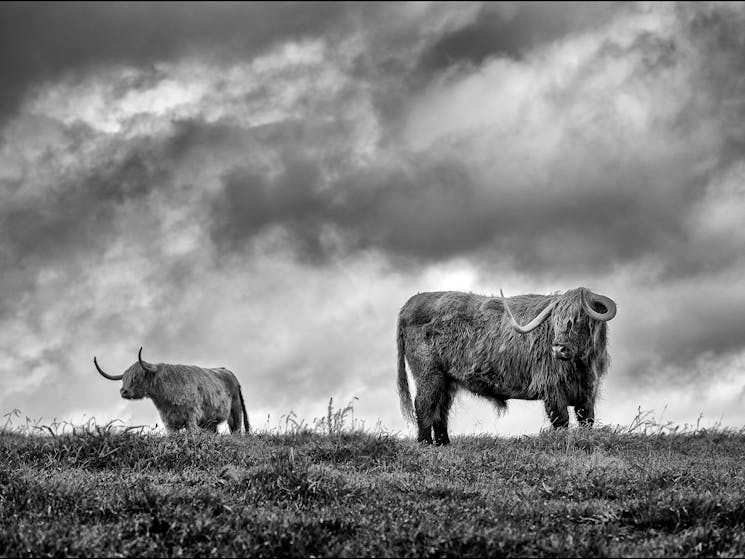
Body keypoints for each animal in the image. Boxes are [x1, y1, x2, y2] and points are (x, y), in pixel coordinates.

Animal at [93, 348, 248, 436]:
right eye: (123, 378)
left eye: (136, 376)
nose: (123, 391)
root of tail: (227, 372)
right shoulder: (169, 423)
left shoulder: (191, 418)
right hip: (210, 421)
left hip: (235, 411)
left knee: (236, 430)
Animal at [396, 288, 616, 446]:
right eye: (556, 320)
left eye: (581, 319)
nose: (558, 348)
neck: (581, 366)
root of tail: (410, 303)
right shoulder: (552, 389)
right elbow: (561, 420)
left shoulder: (588, 391)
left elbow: (587, 419)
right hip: (429, 374)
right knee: (424, 404)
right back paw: (425, 443)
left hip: (447, 380)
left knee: (441, 409)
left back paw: (444, 443)